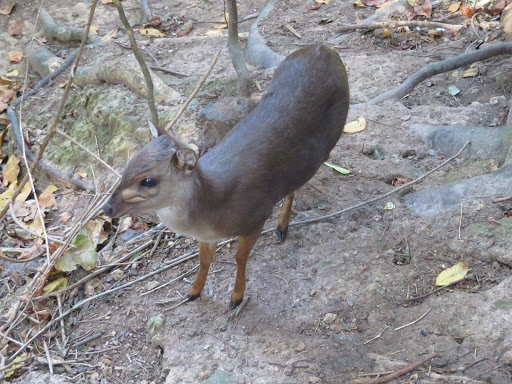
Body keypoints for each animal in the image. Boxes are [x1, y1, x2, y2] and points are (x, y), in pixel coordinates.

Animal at [104, 45, 352, 308]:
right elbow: (204, 260)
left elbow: (240, 257)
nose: (108, 208)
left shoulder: (255, 217)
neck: (214, 207)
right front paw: (193, 291)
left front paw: (236, 296)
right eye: (127, 166)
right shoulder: (207, 236)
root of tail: (323, 48)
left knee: (296, 182)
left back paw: (282, 226)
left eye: (148, 181)